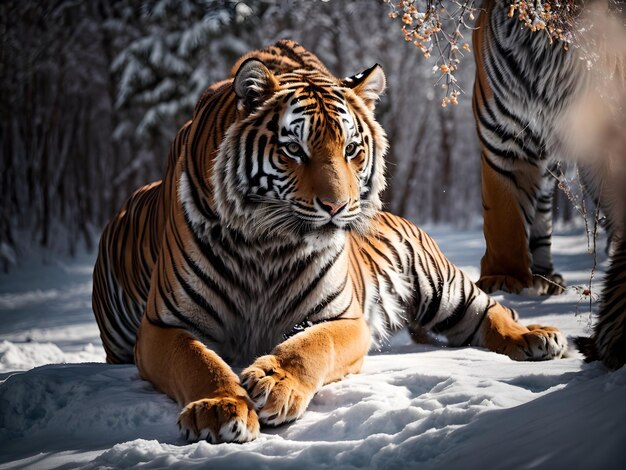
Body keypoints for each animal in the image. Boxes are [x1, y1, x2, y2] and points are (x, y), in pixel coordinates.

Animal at [91, 40, 564, 444]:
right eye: (294, 150)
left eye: (352, 149)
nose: (338, 206)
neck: (264, 245)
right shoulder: (162, 326)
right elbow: (197, 359)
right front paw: (219, 408)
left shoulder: (345, 317)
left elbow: (311, 346)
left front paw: (274, 384)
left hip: (441, 287)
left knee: (492, 309)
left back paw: (538, 337)